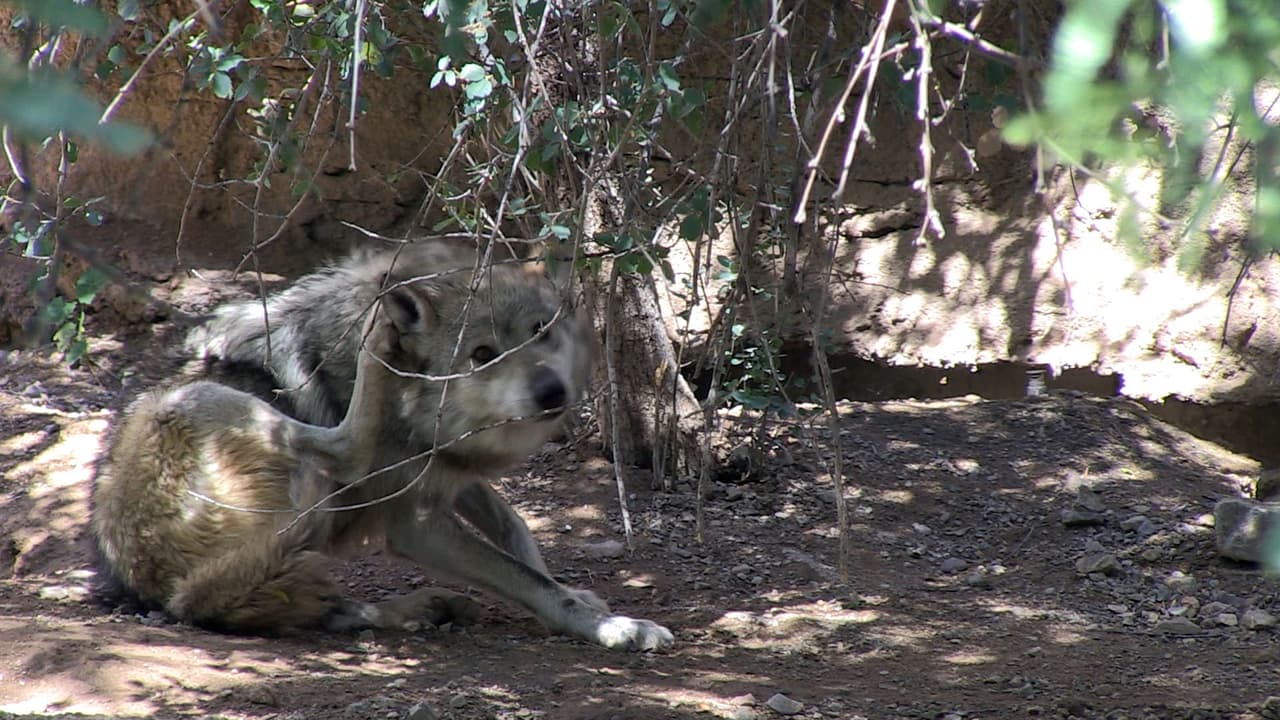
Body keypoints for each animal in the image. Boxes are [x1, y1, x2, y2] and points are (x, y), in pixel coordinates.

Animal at [92, 240, 673, 651]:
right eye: (482, 354)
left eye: (541, 331)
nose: (552, 391)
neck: (414, 404)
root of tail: (173, 593)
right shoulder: (416, 523)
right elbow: (526, 577)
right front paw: (610, 626)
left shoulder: (449, 474)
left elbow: (517, 530)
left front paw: (581, 599)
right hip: (207, 402)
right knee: (345, 449)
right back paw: (379, 328)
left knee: (326, 610)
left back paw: (417, 608)